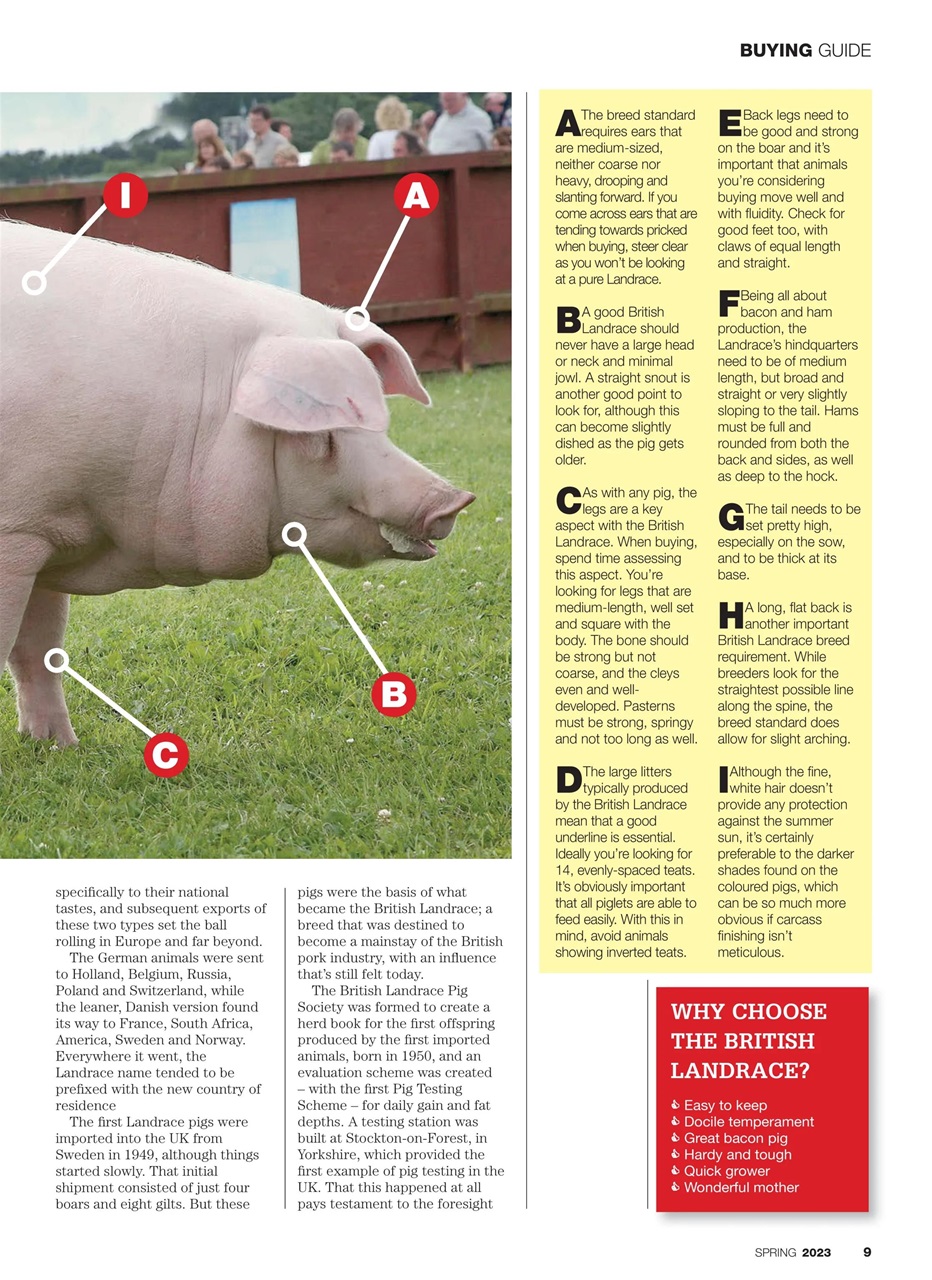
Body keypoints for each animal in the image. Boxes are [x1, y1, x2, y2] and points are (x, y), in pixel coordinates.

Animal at [0, 221, 474, 749]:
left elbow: (39, 650)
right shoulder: (16, 532)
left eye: (380, 419)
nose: (453, 499)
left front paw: (59, 747)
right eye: (321, 431)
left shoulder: (44, 525)